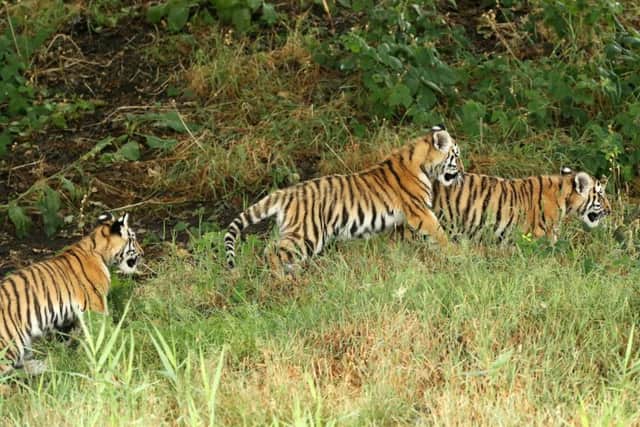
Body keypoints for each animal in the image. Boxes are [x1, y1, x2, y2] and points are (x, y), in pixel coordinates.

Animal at [0, 212, 142, 375]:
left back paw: (45, 364)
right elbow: (103, 330)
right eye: (133, 238)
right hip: (10, 344)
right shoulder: (97, 305)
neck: (99, 251)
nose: (143, 253)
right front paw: (114, 342)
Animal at [224, 125, 464, 272]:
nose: (462, 171)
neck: (424, 165)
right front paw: (456, 254)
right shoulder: (420, 211)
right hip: (307, 235)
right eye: (457, 156)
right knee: (272, 253)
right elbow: (439, 232)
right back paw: (282, 279)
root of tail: (286, 193)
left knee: (272, 250)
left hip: (293, 231)